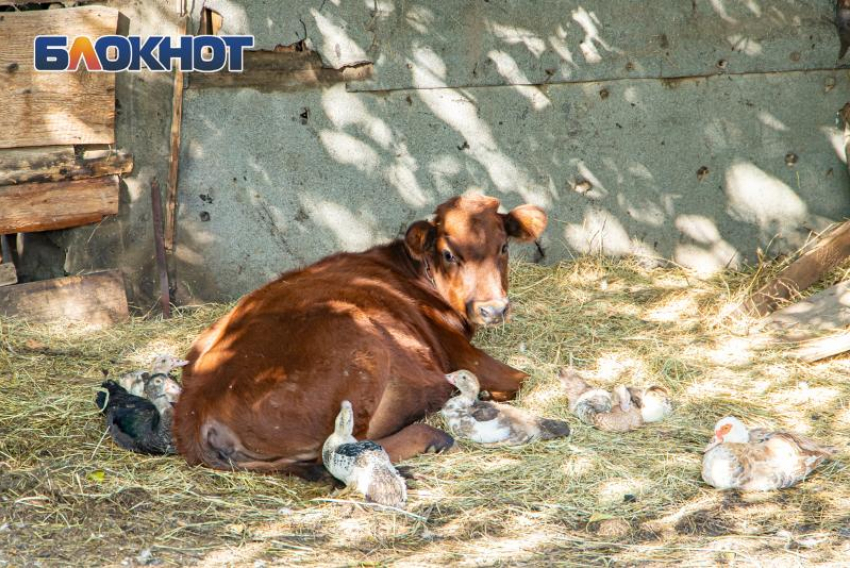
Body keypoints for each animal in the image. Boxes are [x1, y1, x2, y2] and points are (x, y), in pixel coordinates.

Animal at [174, 195, 544, 480]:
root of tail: (197, 408)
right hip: (363, 356)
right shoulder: (464, 355)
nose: (493, 310)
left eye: (504, 246)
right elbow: (524, 380)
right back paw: (431, 435)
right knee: (339, 449)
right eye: (449, 253)